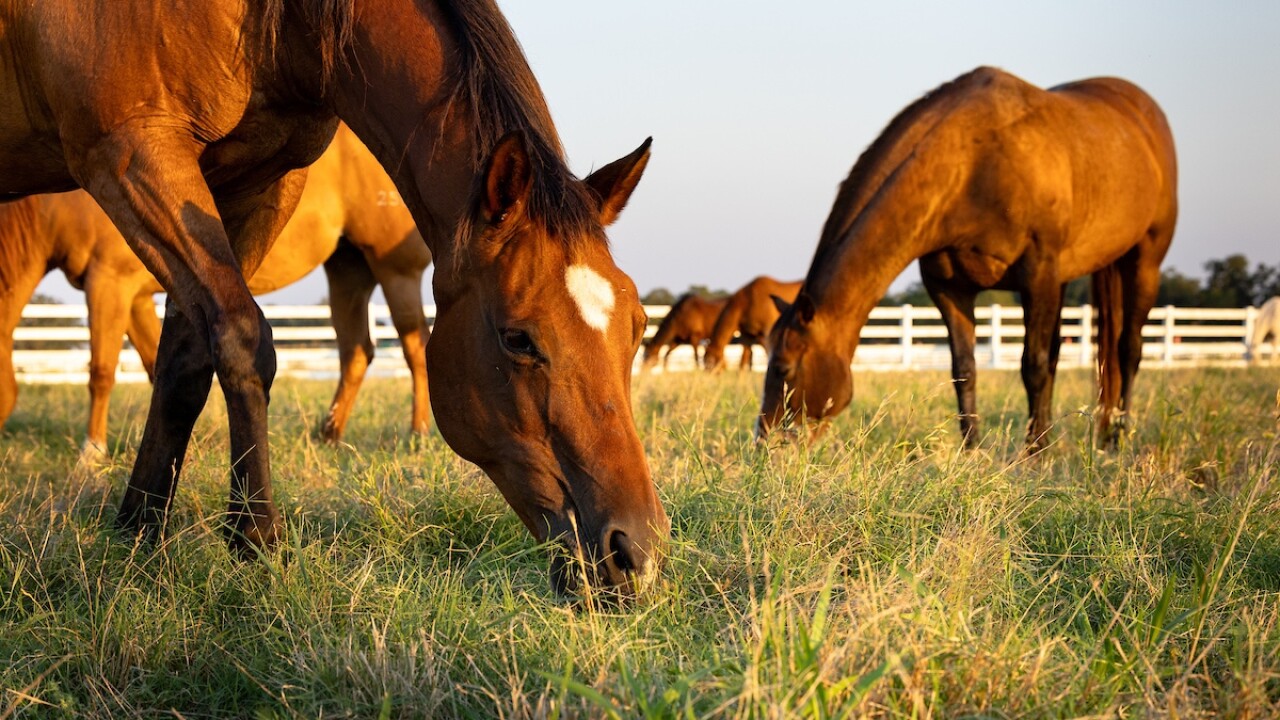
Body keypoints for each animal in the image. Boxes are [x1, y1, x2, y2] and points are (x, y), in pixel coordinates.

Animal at [0, 125, 433, 463]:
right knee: (355, 351)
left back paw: (419, 433)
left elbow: (102, 371)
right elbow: (152, 365)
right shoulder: (136, 299)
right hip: (348, 269)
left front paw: (91, 453)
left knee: (415, 347)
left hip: (396, 270)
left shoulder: (109, 283)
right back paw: (329, 436)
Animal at [759, 67, 1178, 452]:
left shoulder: (1037, 274)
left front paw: (1034, 455)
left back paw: (1117, 438)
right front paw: (973, 452)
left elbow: (1033, 366)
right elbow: (965, 369)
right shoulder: (950, 288)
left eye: (783, 368)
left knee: (1127, 350)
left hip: (1143, 262)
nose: (764, 441)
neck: (973, 165)